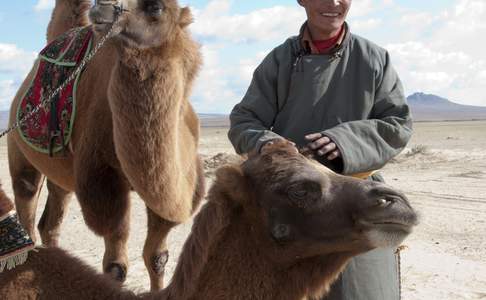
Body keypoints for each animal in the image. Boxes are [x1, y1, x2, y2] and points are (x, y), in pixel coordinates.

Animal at [6, 0, 203, 290]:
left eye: (155, 8)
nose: (102, 6)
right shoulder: (104, 182)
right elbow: (116, 266)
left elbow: (157, 257)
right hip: (20, 151)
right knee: (27, 203)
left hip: (63, 176)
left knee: (50, 223)